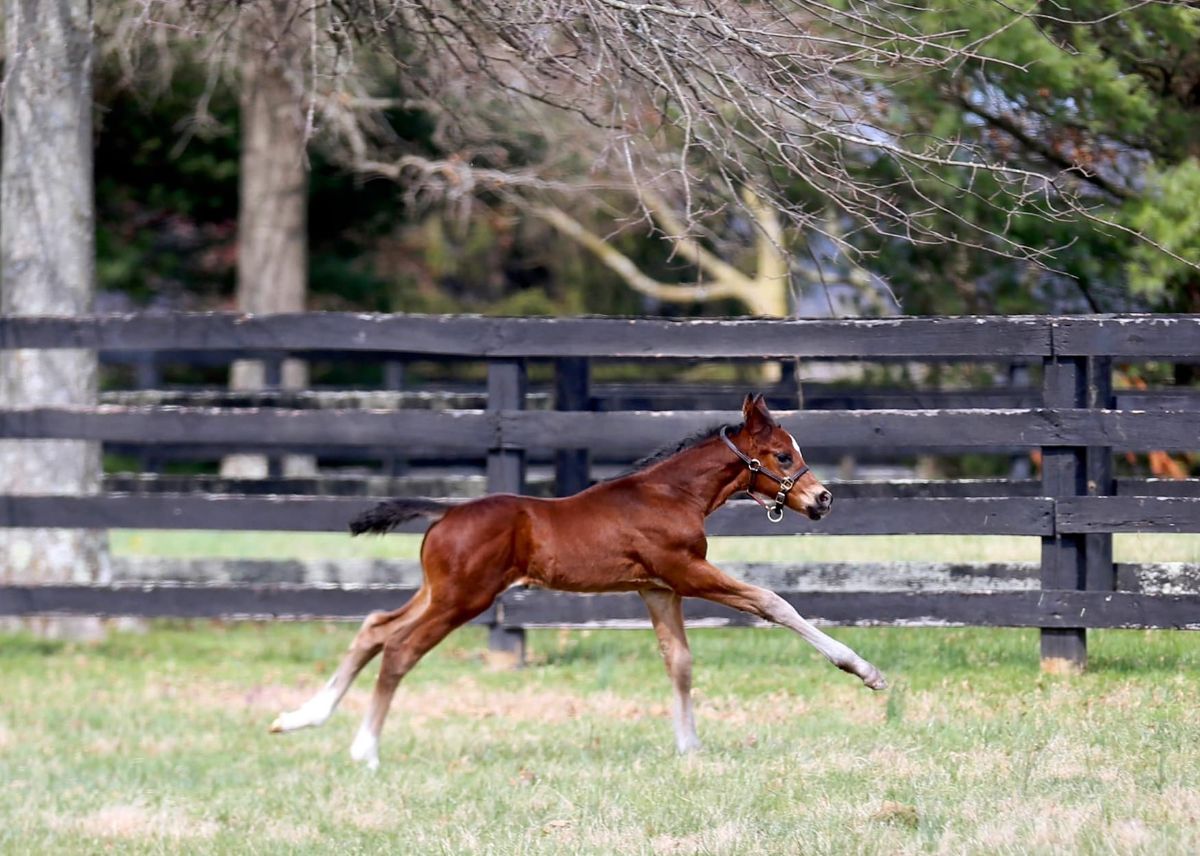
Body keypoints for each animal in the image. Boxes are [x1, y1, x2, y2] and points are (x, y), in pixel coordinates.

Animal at [269, 394, 887, 768]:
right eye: (782, 455)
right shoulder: (685, 572)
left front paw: (689, 747)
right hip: (463, 598)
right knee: (399, 648)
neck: (669, 495)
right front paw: (865, 671)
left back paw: (300, 718)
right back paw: (364, 750)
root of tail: (446, 511)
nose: (823, 499)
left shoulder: (657, 588)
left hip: (438, 591)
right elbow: (772, 602)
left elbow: (679, 661)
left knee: (376, 627)